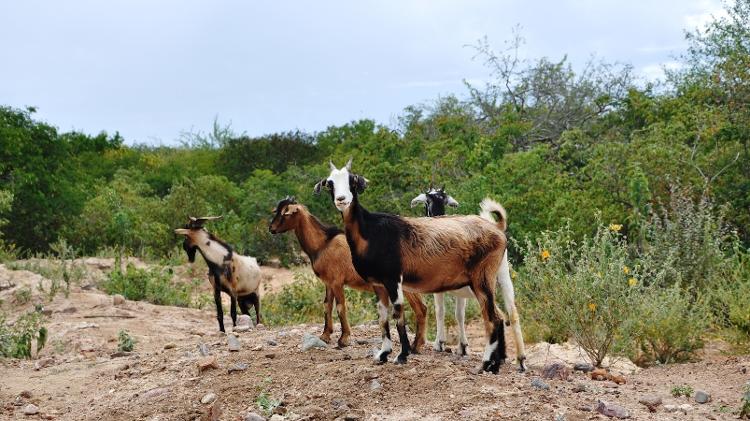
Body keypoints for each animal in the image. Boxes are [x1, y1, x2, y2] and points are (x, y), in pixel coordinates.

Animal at [270, 197, 426, 352]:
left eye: (285, 213)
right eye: (277, 210)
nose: (271, 229)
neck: (323, 244)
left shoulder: (337, 281)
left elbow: (340, 307)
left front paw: (343, 339)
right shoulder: (328, 283)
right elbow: (327, 305)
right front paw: (325, 335)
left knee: (420, 309)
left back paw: (416, 346)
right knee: (422, 308)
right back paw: (418, 344)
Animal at [412, 185, 528, 362]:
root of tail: (497, 228)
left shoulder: (439, 289)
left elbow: (440, 311)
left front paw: (440, 343)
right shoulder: (460, 292)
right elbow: (459, 314)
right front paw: (462, 346)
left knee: (496, 315)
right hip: (503, 278)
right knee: (512, 313)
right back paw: (520, 359)